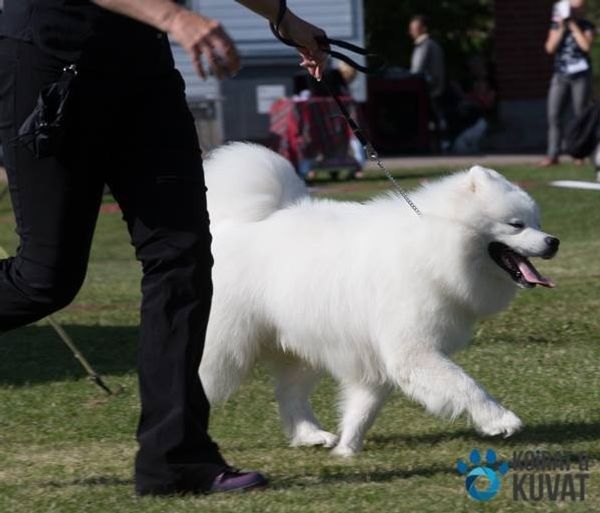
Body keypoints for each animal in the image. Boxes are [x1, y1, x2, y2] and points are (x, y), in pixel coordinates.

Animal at [199, 142, 560, 454]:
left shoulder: (378, 358)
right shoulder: (413, 350)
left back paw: (311, 435)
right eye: (516, 224)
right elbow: (465, 385)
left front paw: (348, 449)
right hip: (226, 347)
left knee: (290, 395)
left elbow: (364, 408)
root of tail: (231, 226)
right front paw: (500, 420)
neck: (432, 248)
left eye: (538, 222)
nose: (553, 241)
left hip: (302, 347)